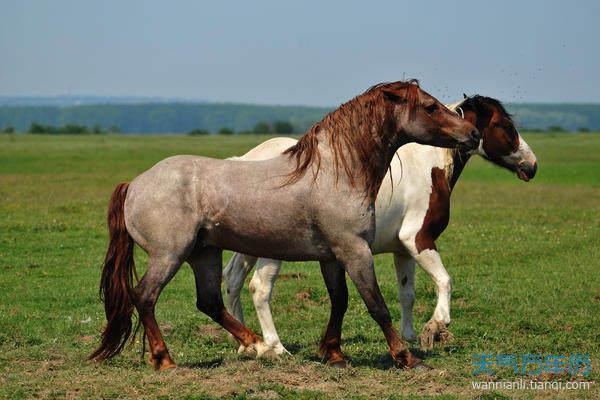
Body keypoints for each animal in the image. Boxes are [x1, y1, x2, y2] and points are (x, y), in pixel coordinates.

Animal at [90, 79, 478, 370]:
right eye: (429, 106)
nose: (472, 134)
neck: (337, 172)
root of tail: (134, 184)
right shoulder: (354, 251)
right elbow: (376, 304)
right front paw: (406, 357)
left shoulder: (332, 256)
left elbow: (340, 301)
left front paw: (333, 353)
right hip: (170, 254)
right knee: (145, 296)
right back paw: (166, 359)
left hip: (204, 252)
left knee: (210, 301)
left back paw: (259, 347)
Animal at [223, 95, 536, 354]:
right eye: (505, 125)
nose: (532, 165)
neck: (428, 167)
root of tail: (244, 161)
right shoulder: (418, 239)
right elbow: (444, 281)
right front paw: (436, 326)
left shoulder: (403, 250)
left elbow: (407, 293)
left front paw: (410, 336)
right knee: (260, 288)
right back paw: (276, 348)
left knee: (233, 280)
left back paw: (245, 344)